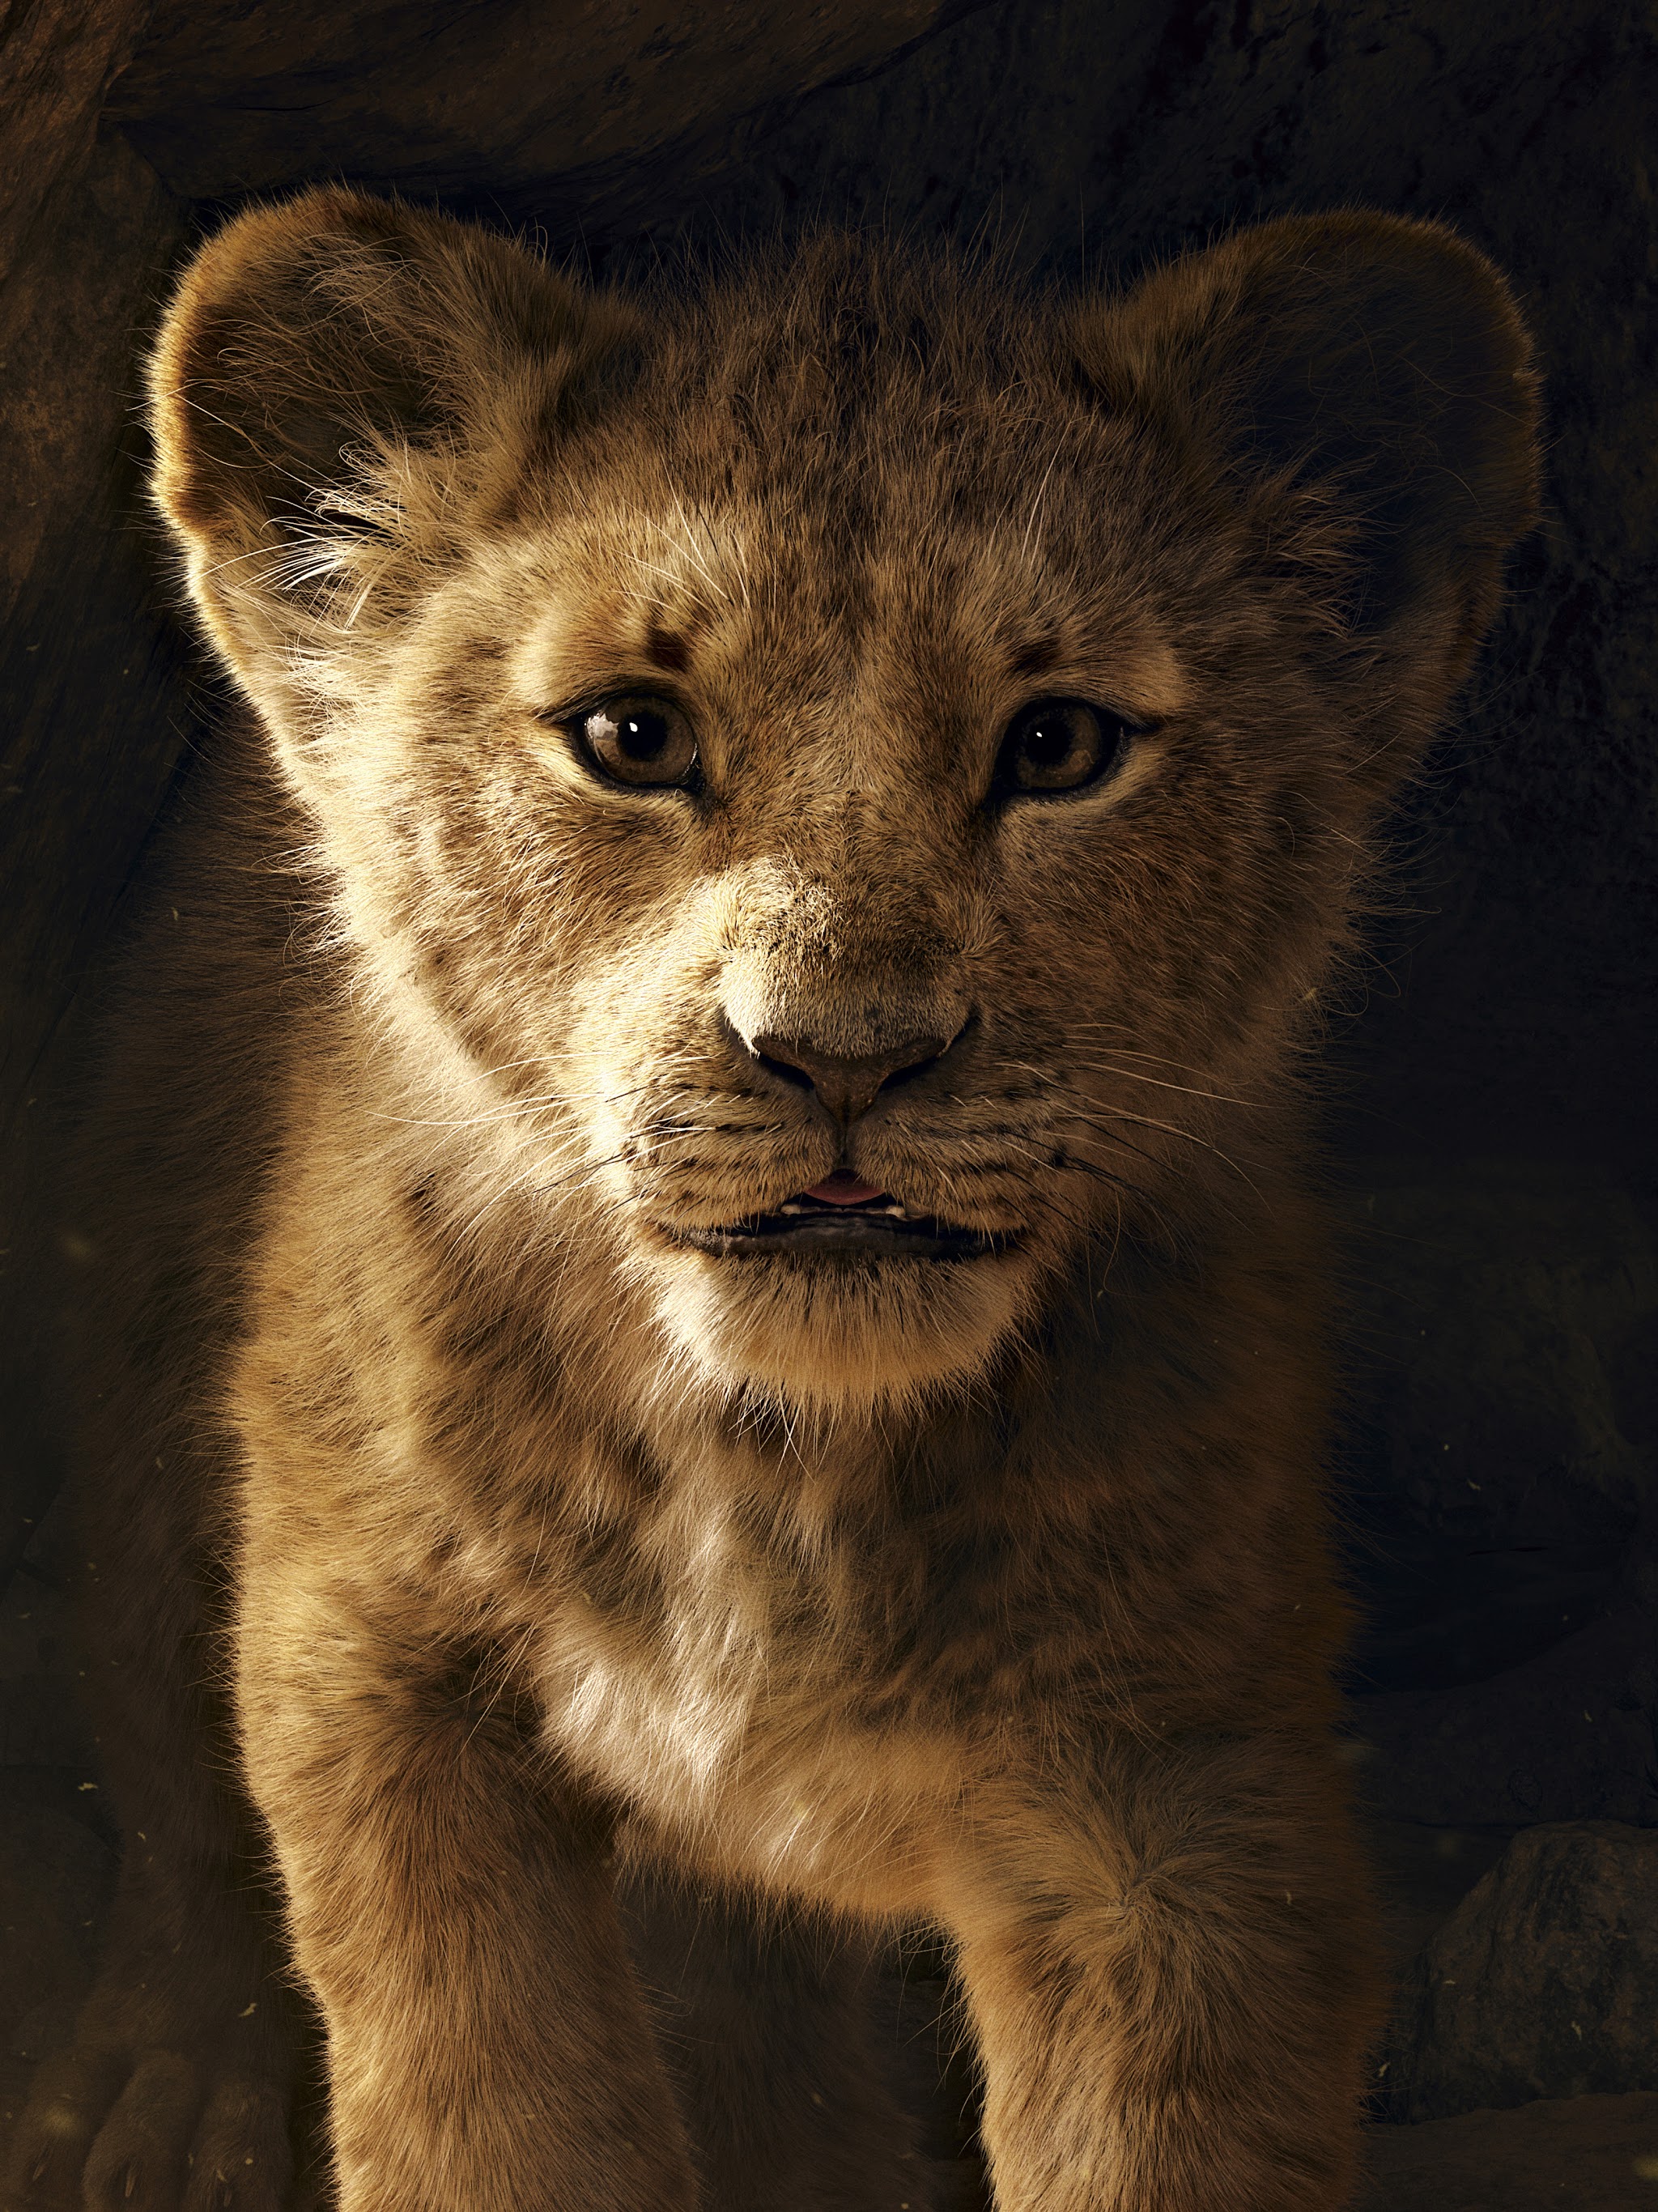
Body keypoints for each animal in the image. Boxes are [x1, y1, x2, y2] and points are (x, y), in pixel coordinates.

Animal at [5, 189, 1537, 2212]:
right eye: (631, 737)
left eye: (1058, 746)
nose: (842, 1056)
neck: (779, 1463)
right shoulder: (375, 1659)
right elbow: (484, 2103)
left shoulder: (1182, 1782)